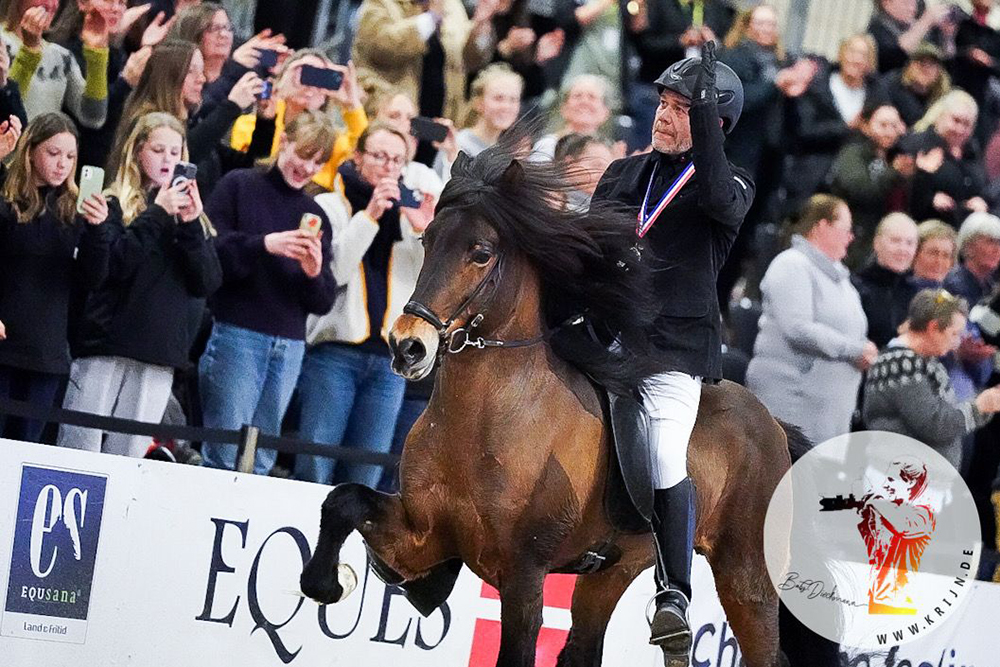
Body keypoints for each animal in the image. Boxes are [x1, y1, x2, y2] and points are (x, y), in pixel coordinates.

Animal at [298, 138, 804, 664]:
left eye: (481, 254)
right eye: (427, 241)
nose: (407, 347)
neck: (484, 416)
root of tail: (773, 423)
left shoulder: (523, 574)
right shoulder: (425, 535)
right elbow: (343, 499)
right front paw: (325, 583)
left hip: (746, 576)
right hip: (613, 570)